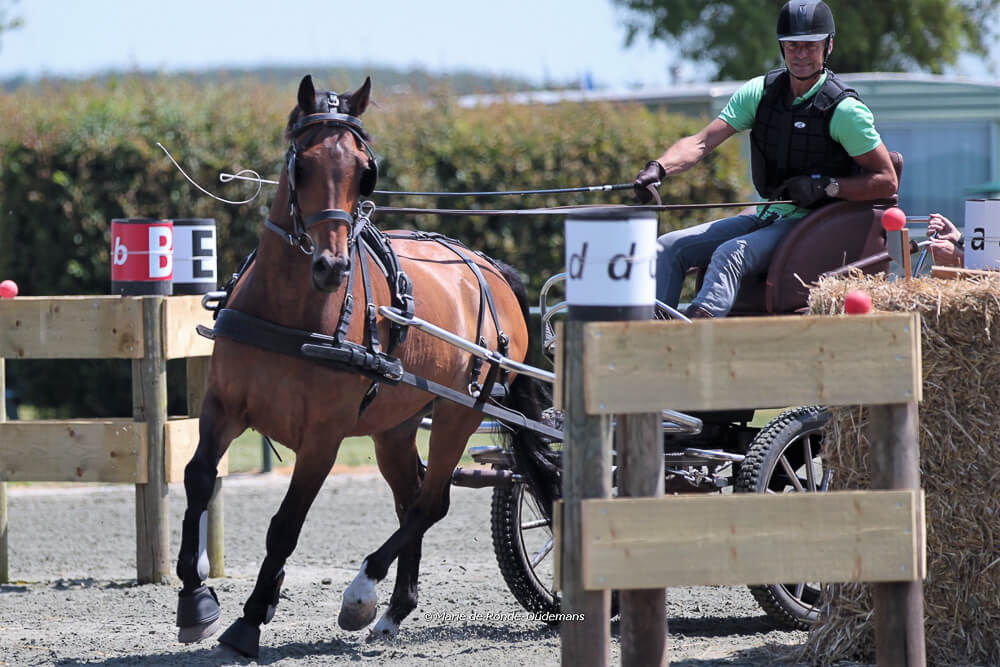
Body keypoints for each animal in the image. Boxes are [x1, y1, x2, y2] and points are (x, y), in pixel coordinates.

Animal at [174, 75, 560, 658]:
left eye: (363, 171)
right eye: (303, 164)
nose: (331, 266)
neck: (290, 310)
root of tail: (488, 268)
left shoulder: (323, 438)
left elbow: (285, 525)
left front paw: (251, 620)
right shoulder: (222, 407)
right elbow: (197, 479)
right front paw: (195, 601)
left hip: (461, 413)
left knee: (431, 502)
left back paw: (362, 592)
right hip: (395, 424)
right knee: (412, 496)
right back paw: (394, 609)